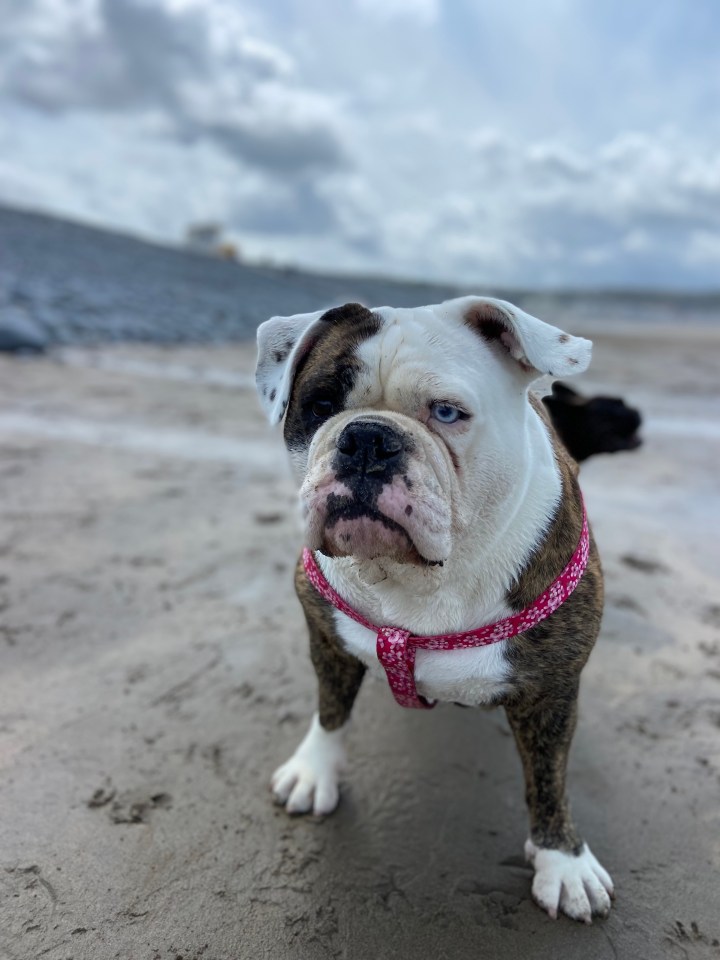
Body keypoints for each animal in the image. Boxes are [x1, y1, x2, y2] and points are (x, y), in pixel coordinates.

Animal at [253, 294, 612, 924]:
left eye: (447, 413)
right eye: (320, 406)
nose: (367, 439)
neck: (415, 576)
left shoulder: (550, 688)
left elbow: (549, 778)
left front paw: (563, 861)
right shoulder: (326, 639)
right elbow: (331, 707)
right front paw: (314, 769)